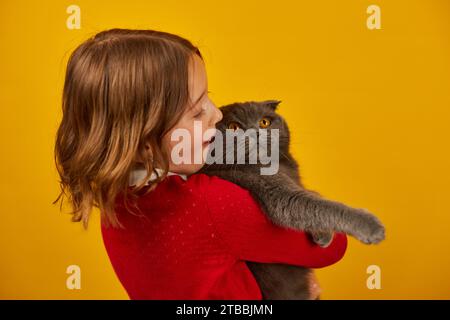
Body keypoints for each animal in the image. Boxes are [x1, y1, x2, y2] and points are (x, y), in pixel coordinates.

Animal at [199, 100, 384, 300]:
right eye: (234, 127)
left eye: (264, 122)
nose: (255, 132)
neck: (279, 166)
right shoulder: (278, 193)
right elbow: (315, 205)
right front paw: (371, 226)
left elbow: (313, 195)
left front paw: (322, 234)